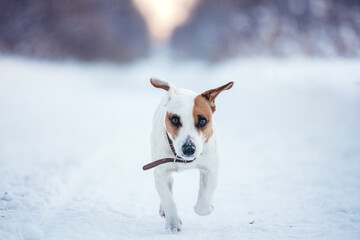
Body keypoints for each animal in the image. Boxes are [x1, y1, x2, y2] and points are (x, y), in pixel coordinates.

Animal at [143, 77, 233, 232]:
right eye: (174, 120)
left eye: (203, 121)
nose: (189, 148)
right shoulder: (160, 171)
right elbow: (168, 198)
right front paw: (172, 223)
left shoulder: (211, 169)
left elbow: (203, 204)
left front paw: (207, 207)